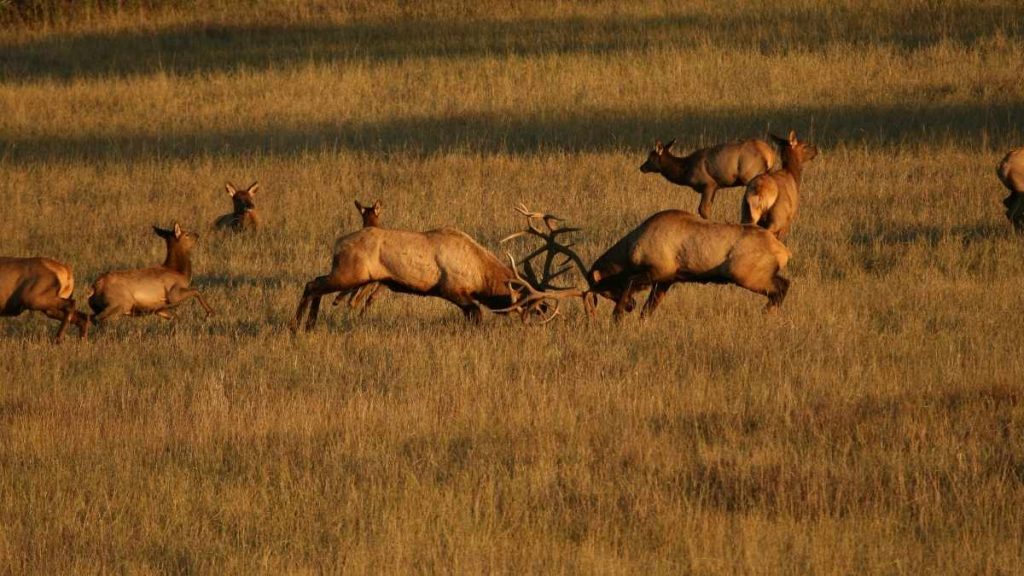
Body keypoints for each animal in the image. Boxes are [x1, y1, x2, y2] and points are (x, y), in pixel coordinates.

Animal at [640, 137, 777, 219]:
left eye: (650, 157)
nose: (642, 167)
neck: (685, 170)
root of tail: (770, 155)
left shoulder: (709, 184)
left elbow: (703, 210)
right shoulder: (715, 187)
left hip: (751, 175)